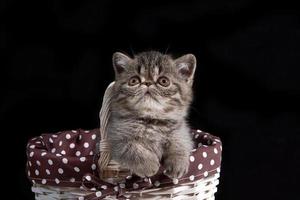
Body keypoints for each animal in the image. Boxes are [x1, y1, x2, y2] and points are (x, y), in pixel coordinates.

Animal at [106, 50, 196, 178]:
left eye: (163, 81)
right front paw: (148, 164)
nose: (148, 83)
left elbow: (181, 142)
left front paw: (178, 162)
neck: (151, 119)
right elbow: (129, 147)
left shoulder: (181, 130)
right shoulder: (114, 137)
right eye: (134, 81)